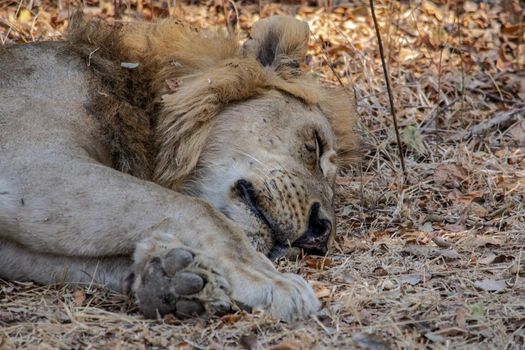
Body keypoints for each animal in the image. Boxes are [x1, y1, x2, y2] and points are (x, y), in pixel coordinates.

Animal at [0, 13, 356, 322]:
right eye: (316, 143)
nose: (321, 235)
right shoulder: (34, 163)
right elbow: (199, 211)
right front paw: (271, 281)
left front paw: (172, 276)